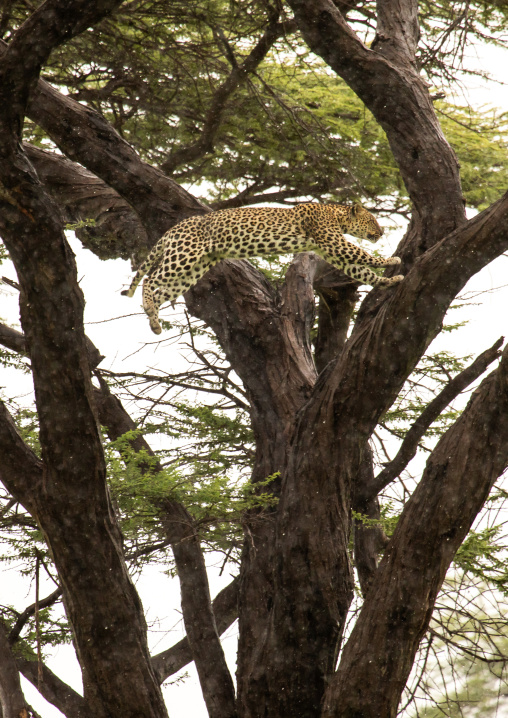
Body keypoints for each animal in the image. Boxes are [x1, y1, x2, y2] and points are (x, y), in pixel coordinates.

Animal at [122, 202, 404, 335]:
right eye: (372, 220)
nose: (381, 232)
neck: (336, 214)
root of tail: (173, 229)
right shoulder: (334, 242)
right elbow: (363, 255)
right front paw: (392, 262)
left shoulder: (332, 250)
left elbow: (361, 270)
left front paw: (390, 281)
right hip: (183, 256)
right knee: (149, 280)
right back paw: (150, 310)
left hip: (193, 269)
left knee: (160, 291)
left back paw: (153, 320)